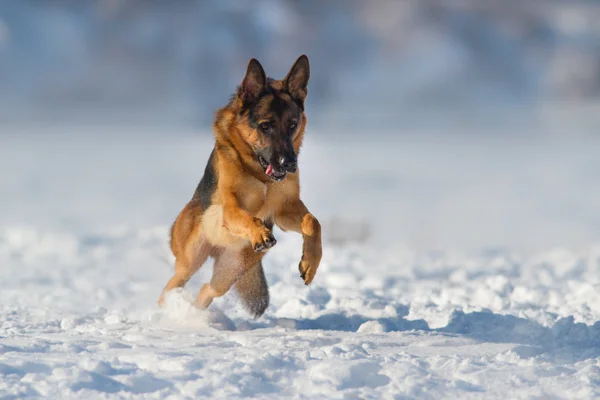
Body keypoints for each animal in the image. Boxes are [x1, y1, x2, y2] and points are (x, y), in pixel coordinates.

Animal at [157, 54, 322, 318]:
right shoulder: (231, 208)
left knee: (207, 289)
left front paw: (310, 263)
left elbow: (313, 222)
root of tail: (217, 251)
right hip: (190, 260)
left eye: (292, 124)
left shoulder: (284, 211)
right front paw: (259, 233)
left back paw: (195, 315)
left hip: (230, 270)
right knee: (172, 285)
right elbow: (247, 217)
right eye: (265, 126)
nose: (289, 163)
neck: (260, 173)